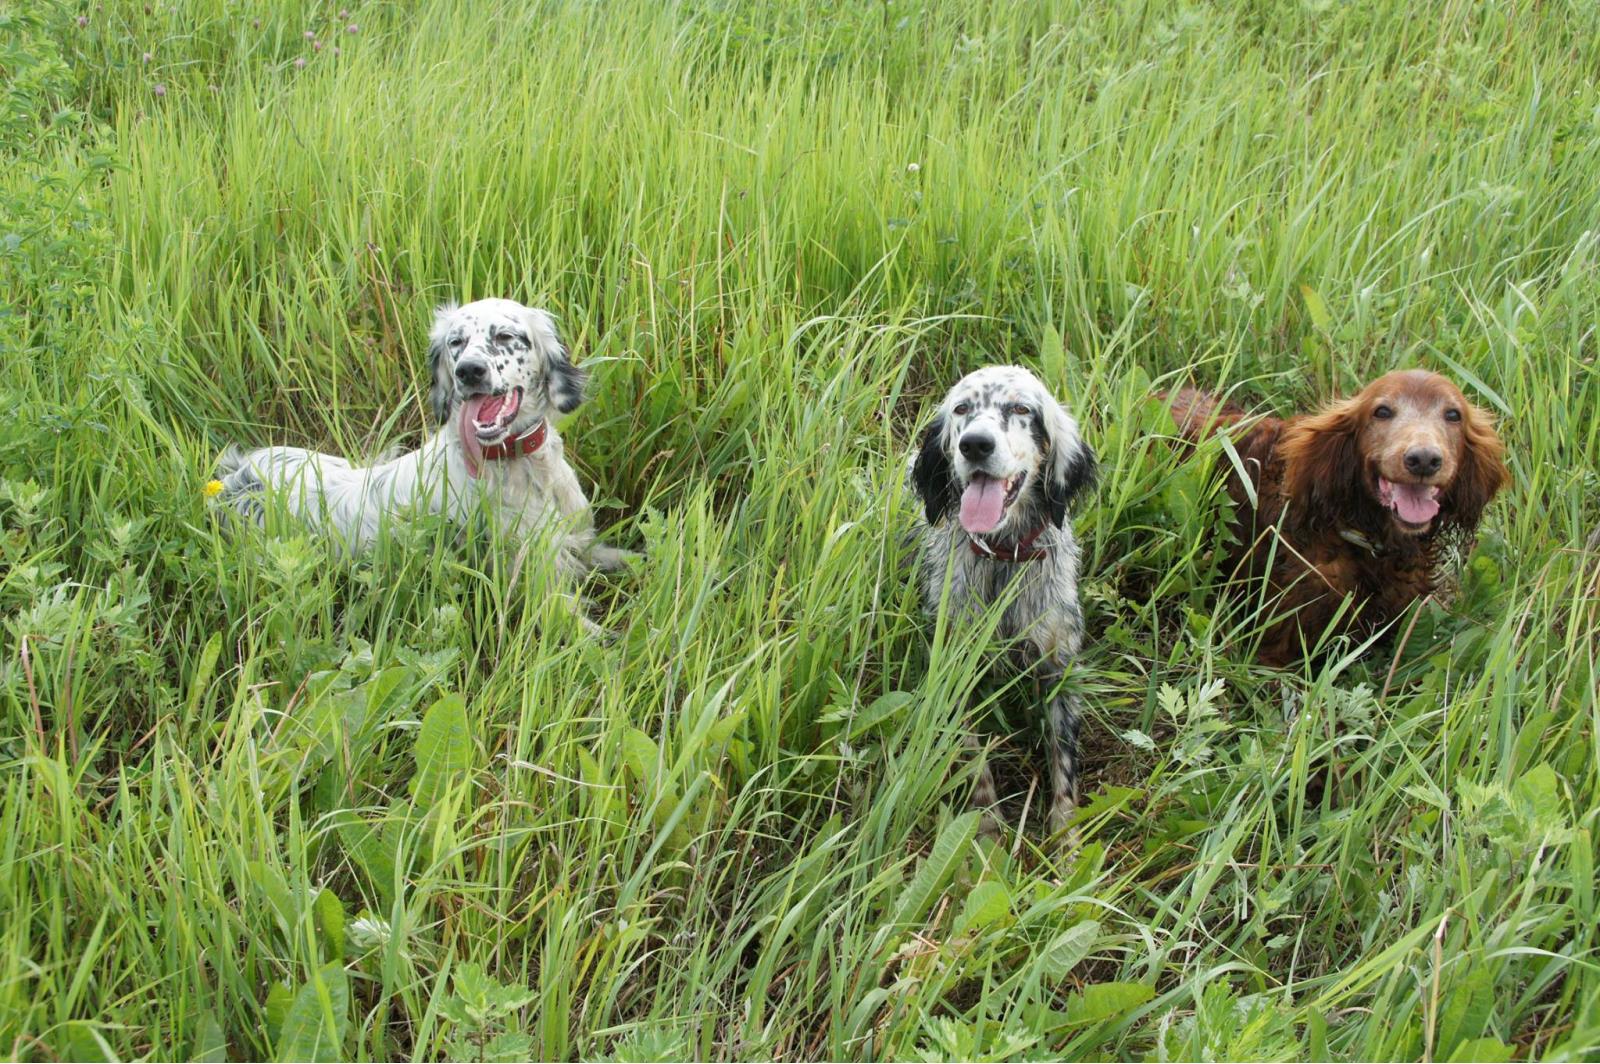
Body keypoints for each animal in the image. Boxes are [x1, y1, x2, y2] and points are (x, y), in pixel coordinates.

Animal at [216, 298, 630, 575]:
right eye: (456, 342)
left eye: (505, 336)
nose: (469, 371)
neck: (520, 466)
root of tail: (238, 476)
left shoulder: (582, 541)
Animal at [908, 365, 1099, 841]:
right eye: (961, 409)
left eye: (1020, 409)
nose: (975, 444)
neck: (1003, 557)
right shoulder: (954, 669)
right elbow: (974, 763)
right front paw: (987, 835)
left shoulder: (1059, 669)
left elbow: (1064, 769)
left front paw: (1066, 844)